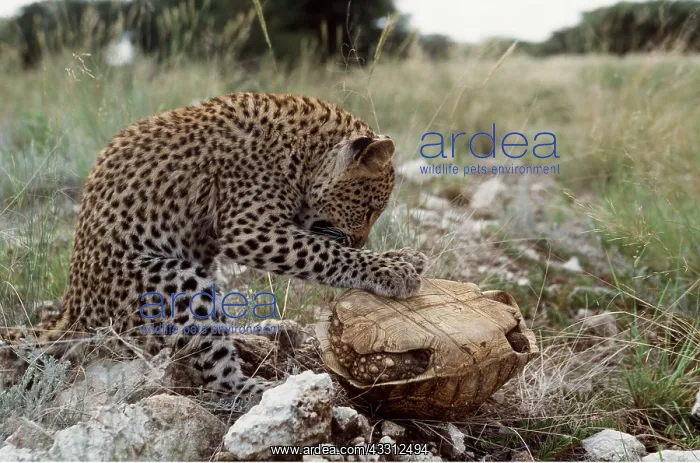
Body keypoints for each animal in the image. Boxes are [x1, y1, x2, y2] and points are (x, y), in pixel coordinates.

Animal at [0, 92, 427, 406]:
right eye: (369, 209)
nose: (361, 241)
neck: (305, 152)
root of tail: (74, 312)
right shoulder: (250, 230)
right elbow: (323, 253)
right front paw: (393, 267)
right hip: (174, 281)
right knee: (216, 377)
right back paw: (279, 388)